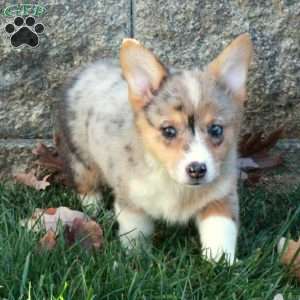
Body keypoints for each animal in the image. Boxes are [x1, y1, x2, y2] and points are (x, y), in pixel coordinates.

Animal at [57, 32, 252, 264]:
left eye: (215, 129)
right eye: (168, 131)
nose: (197, 170)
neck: (175, 185)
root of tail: (88, 68)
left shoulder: (220, 197)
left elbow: (220, 231)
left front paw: (222, 262)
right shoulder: (131, 201)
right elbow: (135, 232)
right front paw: (136, 258)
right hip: (81, 158)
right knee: (86, 185)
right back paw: (95, 210)